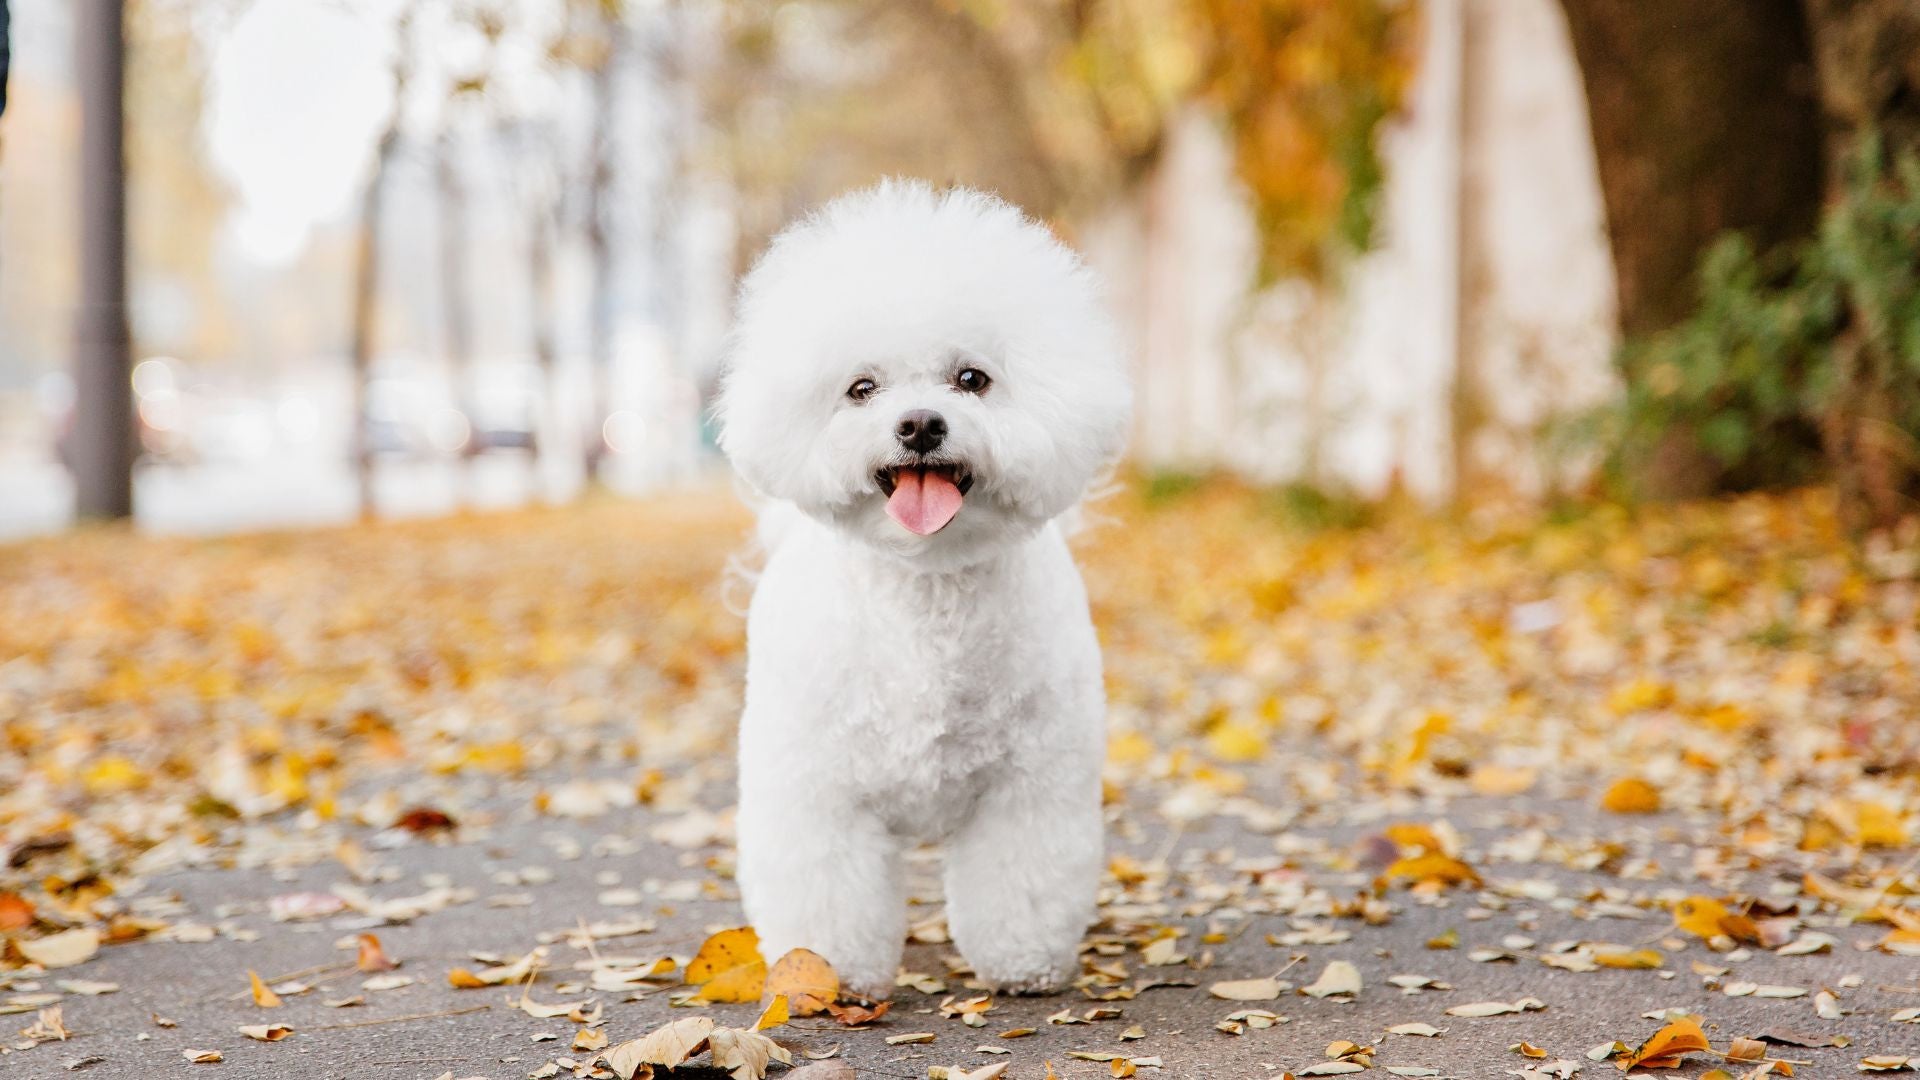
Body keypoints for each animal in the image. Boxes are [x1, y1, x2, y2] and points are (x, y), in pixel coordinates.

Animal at [721, 178, 1136, 991]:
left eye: (972, 379)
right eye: (861, 388)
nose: (918, 424)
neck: (927, 593)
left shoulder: (1029, 786)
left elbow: (1023, 880)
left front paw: (1022, 962)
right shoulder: (817, 793)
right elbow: (825, 890)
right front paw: (830, 975)